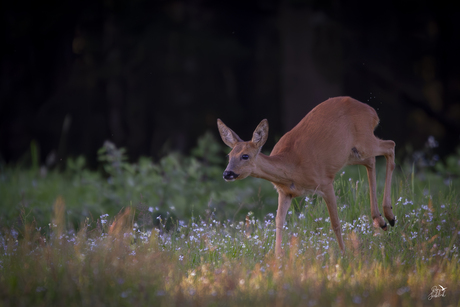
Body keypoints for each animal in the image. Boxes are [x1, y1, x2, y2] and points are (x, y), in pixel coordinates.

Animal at [218, 97, 396, 256]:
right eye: (229, 156)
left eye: (245, 156)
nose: (227, 173)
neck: (292, 168)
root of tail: (372, 112)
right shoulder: (285, 193)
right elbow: (279, 222)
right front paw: (277, 258)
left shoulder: (325, 182)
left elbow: (335, 222)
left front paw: (344, 255)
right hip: (353, 153)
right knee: (372, 161)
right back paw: (381, 221)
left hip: (364, 141)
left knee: (390, 145)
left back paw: (389, 215)